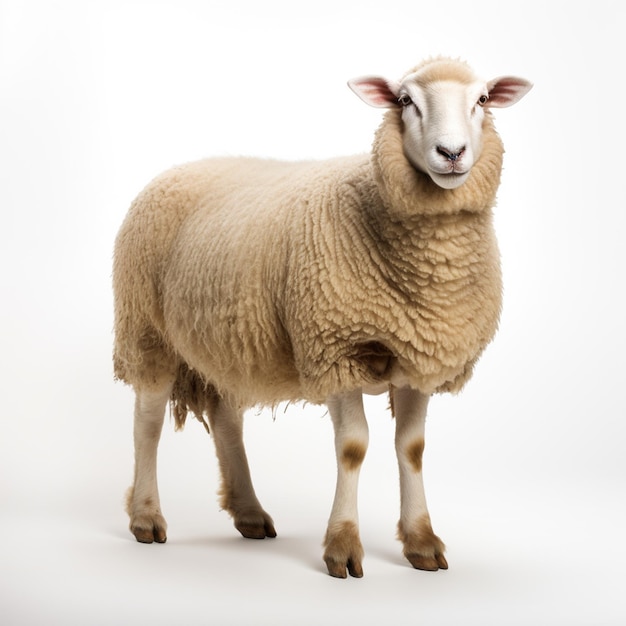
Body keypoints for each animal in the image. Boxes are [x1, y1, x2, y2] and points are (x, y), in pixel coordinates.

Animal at [113, 57, 532, 576]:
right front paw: (343, 546)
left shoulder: (420, 353)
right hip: (146, 328)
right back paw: (146, 516)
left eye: (482, 100)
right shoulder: (334, 348)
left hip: (230, 339)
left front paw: (421, 541)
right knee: (147, 422)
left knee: (227, 417)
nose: (451, 152)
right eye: (405, 101)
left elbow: (411, 449)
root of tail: (177, 169)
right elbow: (353, 447)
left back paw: (249, 512)